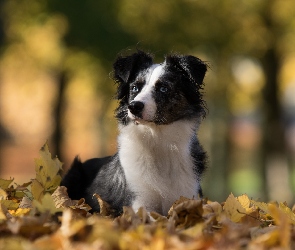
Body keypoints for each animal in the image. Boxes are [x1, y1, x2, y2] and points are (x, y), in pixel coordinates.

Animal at [61, 49, 208, 216]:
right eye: (135, 88)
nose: (134, 106)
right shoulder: (139, 202)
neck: (157, 139)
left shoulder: (189, 197)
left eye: (163, 88)